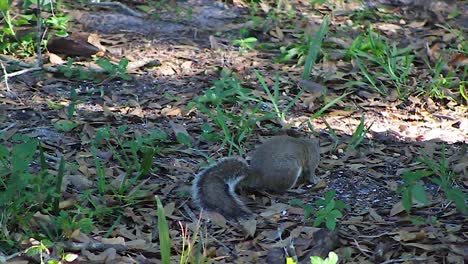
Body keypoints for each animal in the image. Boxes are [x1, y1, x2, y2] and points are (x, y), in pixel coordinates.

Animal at [192, 135, 320, 220]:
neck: (308, 143)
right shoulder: (311, 160)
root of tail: (256, 175)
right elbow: (310, 172)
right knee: (282, 189)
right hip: (290, 168)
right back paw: (296, 190)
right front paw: (315, 179)